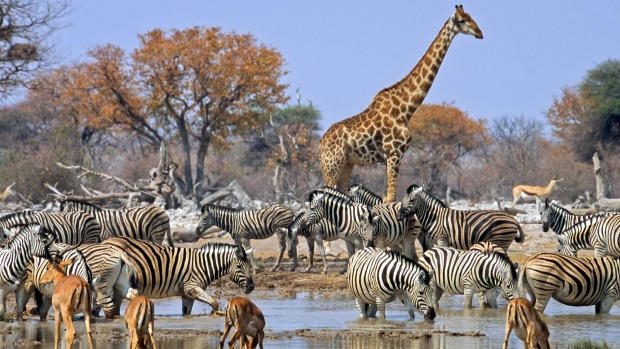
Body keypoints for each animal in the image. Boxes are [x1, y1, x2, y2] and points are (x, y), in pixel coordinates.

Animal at [103, 237, 253, 316]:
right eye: (239, 267)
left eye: (250, 267)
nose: (251, 287)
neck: (204, 265)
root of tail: (106, 241)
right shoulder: (191, 287)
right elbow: (214, 303)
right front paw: (213, 315)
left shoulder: (187, 294)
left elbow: (186, 313)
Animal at [320, 4, 484, 201]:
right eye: (462, 20)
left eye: (471, 17)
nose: (480, 33)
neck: (406, 109)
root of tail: (320, 145)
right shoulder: (394, 153)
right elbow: (391, 197)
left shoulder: (389, 158)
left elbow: (386, 197)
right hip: (332, 166)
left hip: (347, 164)